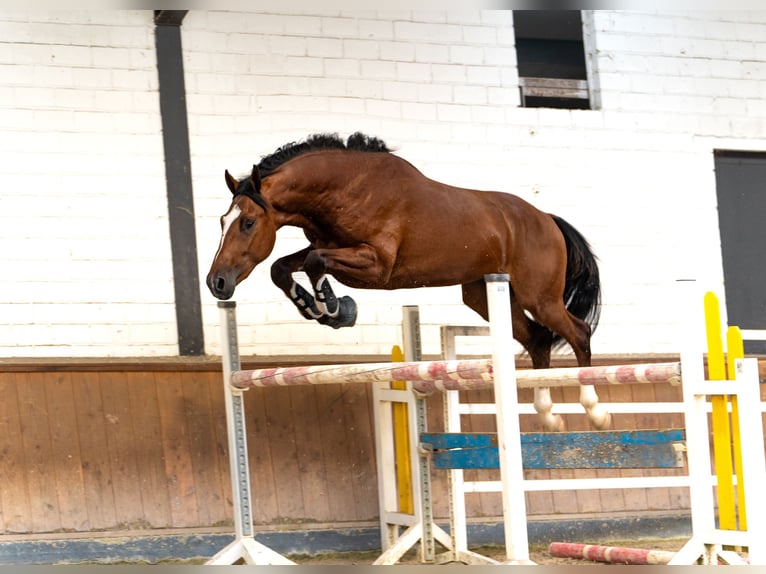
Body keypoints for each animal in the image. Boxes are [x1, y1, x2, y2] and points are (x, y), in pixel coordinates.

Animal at [208, 135, 608, 430]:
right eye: (222, 221)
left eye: (247, 223)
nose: (217, 283)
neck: (344, 190)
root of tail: (547, 219)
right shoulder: (328, 245)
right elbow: (282, 267)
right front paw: (315, 308)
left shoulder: (377, 266)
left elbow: (313, 262)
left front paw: (335, 308)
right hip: (484, 294)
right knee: (537, 339)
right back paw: (548, 414)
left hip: (539, 296)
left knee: (577, 333)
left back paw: (594, 410)